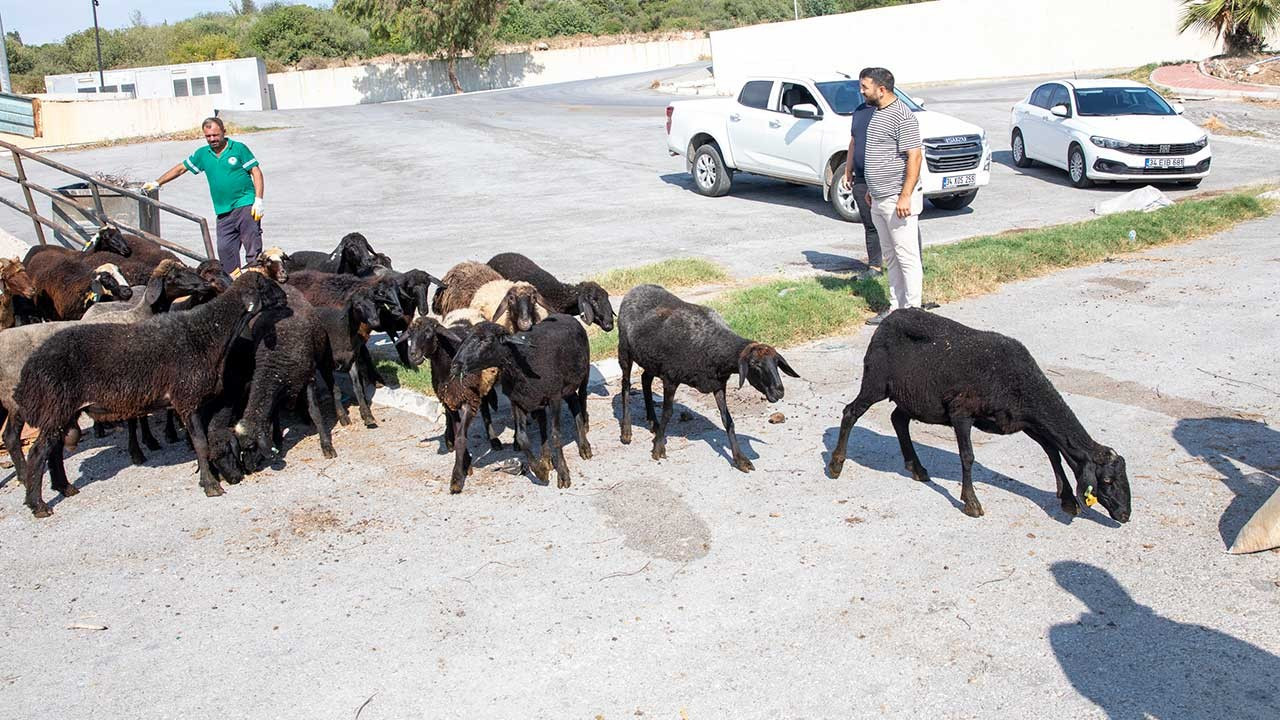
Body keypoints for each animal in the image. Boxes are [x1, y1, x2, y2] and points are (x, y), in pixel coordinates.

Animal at [15, 270, 286, 515]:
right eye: (266, 286)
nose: (285, 298)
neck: (209, 331)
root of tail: (30, 367)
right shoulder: (186, 398)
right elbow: (201, 444)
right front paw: (210, 485)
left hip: (63, 411)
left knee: (53, 451)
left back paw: (64, 488)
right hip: (56, 407)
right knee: (38, 453)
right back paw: (38, 505)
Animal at [450, 315, 588, 491]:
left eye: (486, 340)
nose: (455, 365)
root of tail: (566, 316)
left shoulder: (554, 397)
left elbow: (556, 435)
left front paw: (563, 474)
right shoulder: (518, 401)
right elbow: (522, 438)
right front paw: (541, 472)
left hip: (582, 375)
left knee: (581, 399)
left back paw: (584, 444)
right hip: (553, 392)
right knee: (565, 408)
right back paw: (546, 459)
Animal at [614, 283, 793, 474]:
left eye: (776, 363)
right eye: (755, 364)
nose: (779, 392)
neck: (712, 344)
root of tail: (637, 287)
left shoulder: (718, 384)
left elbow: (728, 420)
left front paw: (740, 459)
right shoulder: (670, 378)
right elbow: (668, 413)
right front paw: (659, 448)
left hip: (651, 360)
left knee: (645, 379)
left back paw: (653, 422)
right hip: (625, 350)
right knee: (626, 385)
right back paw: (626, 432)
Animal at [819, 304, 1131, 517]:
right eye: (1106, 480)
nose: (1126, 515)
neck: (1022, 383)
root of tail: (888, 320)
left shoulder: (1022, 420)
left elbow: (1053, 452)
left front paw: (1067, 499)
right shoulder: (961, 412)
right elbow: (968, 457)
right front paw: (971, 502)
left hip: (914, 396)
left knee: (898, 419)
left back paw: (917, 468)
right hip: (876, 381)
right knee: (850, 412)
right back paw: (835, 465)